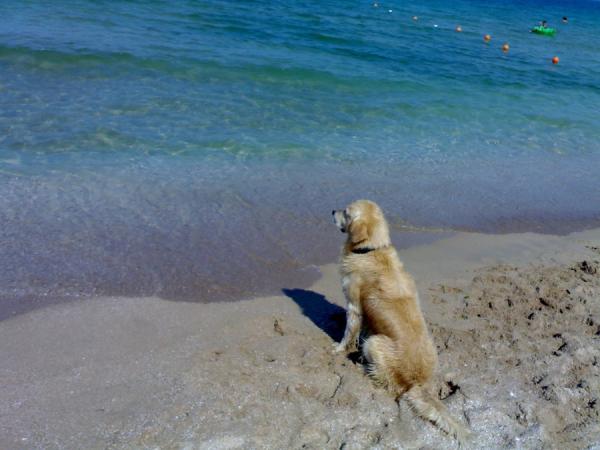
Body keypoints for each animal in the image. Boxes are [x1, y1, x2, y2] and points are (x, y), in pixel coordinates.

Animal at [332, 200, 468, 442]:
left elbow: (348, 333)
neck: (371, 249)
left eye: (345, 212)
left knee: (390, 385)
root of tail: (419, 383)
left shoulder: (354, 306)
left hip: (375, 344)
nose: (331, 211)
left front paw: (338, 349)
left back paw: (363, 366)